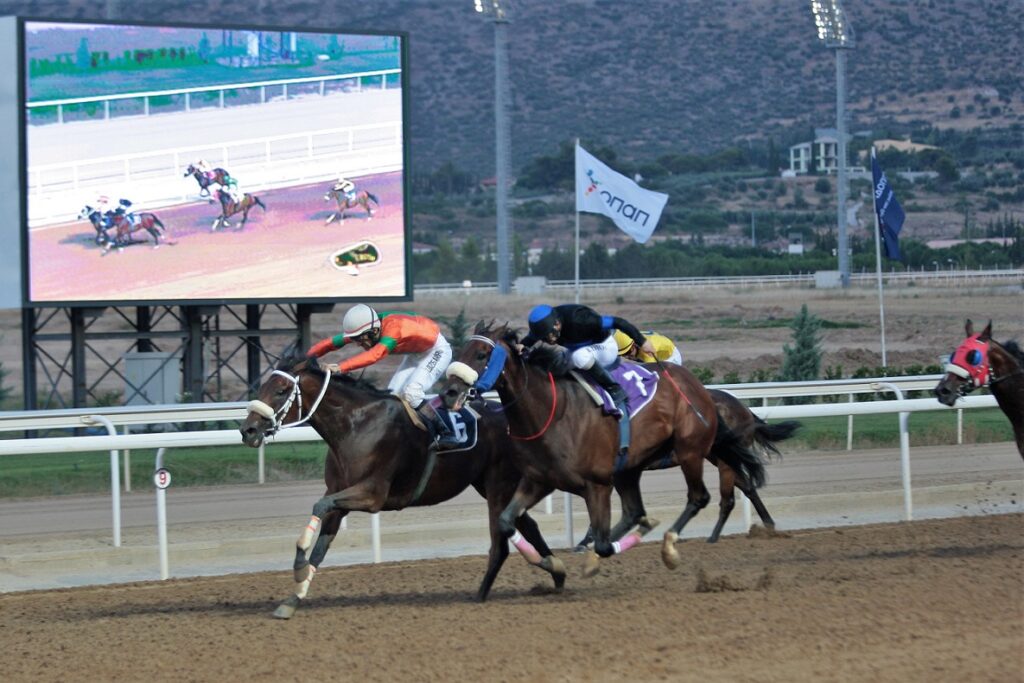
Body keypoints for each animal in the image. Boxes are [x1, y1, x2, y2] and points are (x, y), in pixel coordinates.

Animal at [237, 356, 569, 622]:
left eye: (281, 390)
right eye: (263, 387)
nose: (247, 430)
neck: (355, 426)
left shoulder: (372, 494)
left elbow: (318, 506)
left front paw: (298, 565)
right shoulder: (340, 497)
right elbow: (320, 546)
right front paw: (292, 598)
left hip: (497, 483)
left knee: (500, 542)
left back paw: (484, 592)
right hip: (489, 485)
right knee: (524, 523)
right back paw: (556, 571)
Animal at [440, 325, 770, 577]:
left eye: (481, 354)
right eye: (461, 352)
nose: (449, 393)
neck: (552, 411)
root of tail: (699, 386)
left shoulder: (597, 484)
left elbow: (600, 541)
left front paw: (588, 554)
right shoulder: (539, 480)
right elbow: (507, 521)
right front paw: (548, 561)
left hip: (691, 451)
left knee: (701, 497)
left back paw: (672, 546)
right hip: (630, 469)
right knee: (636, 511)